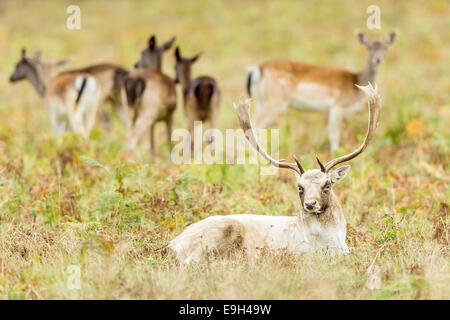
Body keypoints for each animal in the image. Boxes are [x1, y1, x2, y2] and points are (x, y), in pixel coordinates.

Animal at [248, 30, 396, 151]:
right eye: (369, 47)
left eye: (385, 47)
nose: (378, 59)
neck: (355, 84)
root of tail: (259, 69)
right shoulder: (337, 105)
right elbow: (334, 136)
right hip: (276, 101)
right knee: (255, 125)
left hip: (261, 101)